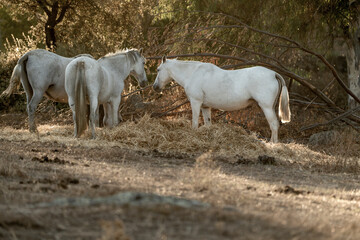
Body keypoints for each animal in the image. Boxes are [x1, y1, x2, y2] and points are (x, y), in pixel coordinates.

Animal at [153, 56, 292, 142]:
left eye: (158, 69)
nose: (155, 87)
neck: (193, 73)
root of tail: (273, 74)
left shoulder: (196, 102)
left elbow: (194, 122)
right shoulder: (205, 106)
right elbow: (208, 123)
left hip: (266, 107)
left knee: (274, 124)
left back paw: (273, 144)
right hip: (271, 107)